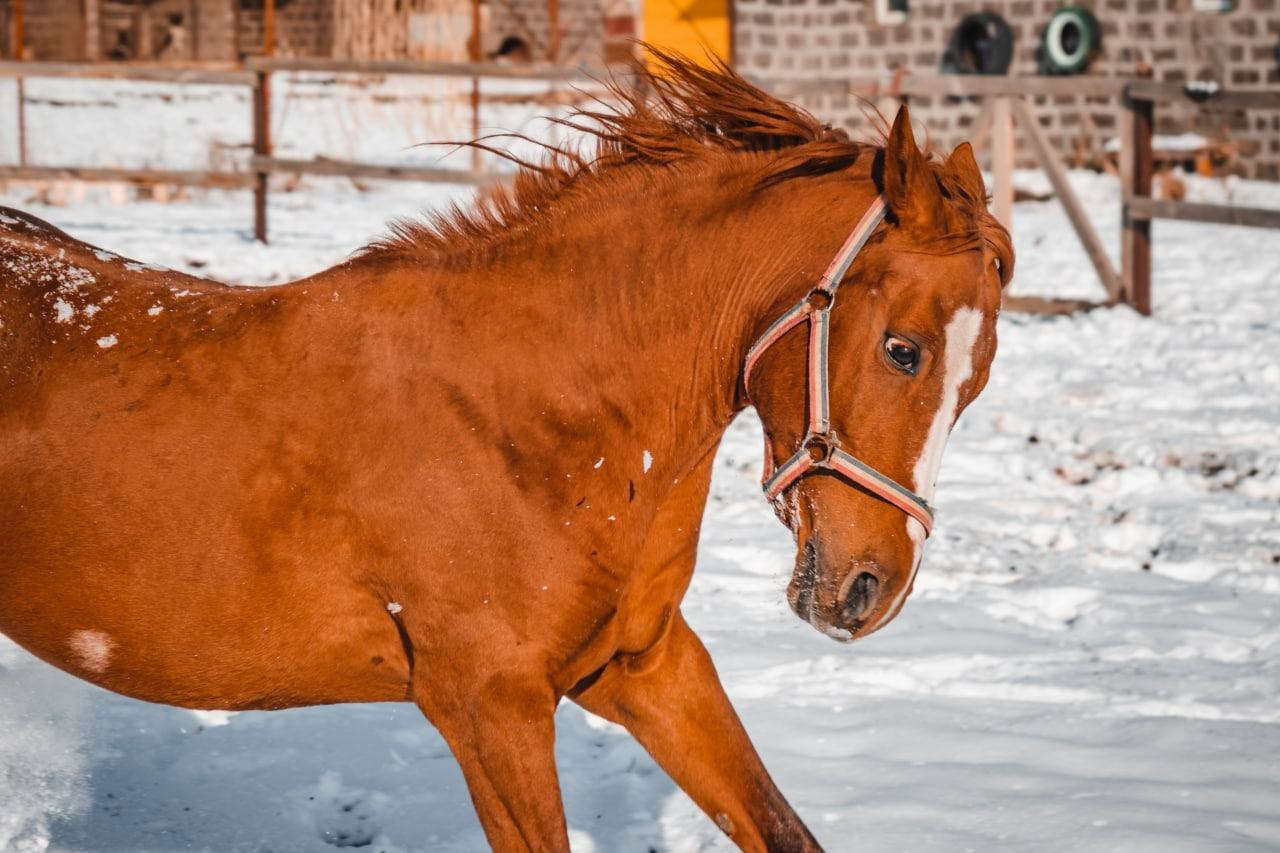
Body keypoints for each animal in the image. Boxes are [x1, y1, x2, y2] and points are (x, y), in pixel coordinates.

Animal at [0, 56, 1008, 845]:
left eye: (979, 378)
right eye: (904, 349)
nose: (869, 591)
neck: (535, 421)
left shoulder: (644, 664)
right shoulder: (489, 708)